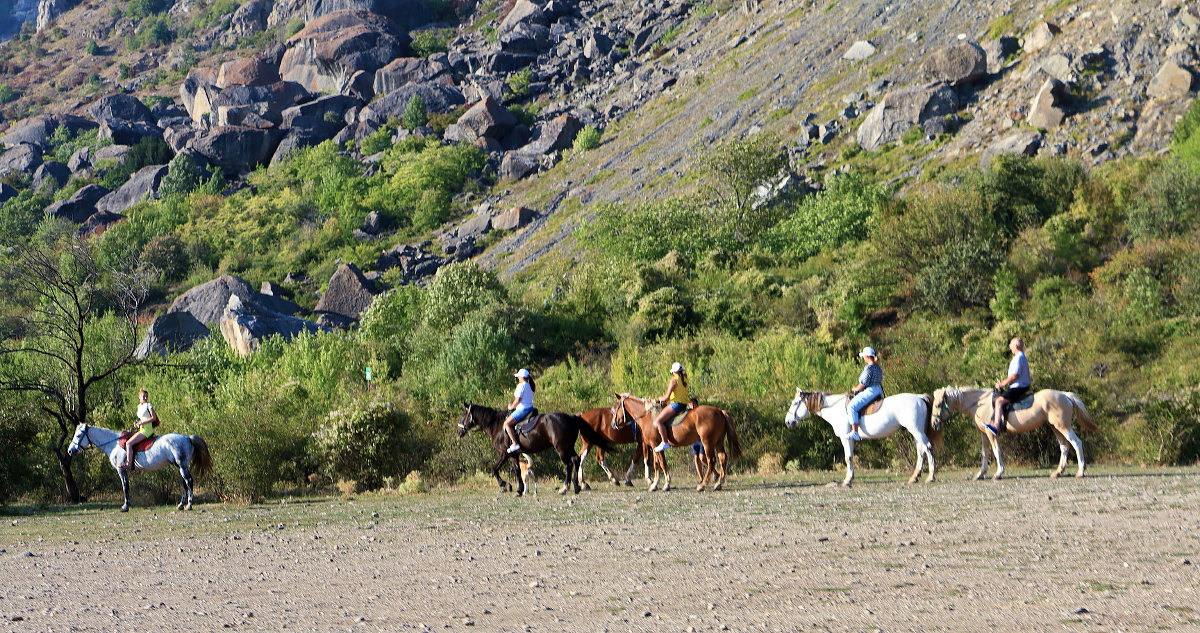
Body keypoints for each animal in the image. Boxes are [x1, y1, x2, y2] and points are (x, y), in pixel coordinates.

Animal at [66, 422, 211, 510]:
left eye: (78, 435)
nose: (70, 451)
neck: (113, 444)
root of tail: (188, 437)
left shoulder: (121, 469)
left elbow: (125, 487)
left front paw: (125, 506)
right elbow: (127, 486)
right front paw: (127, 505)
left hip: (181, 466)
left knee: (189, 481)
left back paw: (189, 505)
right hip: (180, 466)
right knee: (184, 483)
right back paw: (181, 505)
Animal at [453, 405, 614, 493]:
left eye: (463, 415)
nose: (459, 432)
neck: (497, 426)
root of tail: (571, 417)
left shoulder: (504, 453)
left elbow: (495, 469)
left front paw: (505, 485)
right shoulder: (513, 455)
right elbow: (517, 470)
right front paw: (518, 489)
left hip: (561, 448)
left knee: (569, 464)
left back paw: (566, 487)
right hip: (568, 447)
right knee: (576, 460)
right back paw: (576, 486)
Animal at [782, 388, 940, 486]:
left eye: (795, 403)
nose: (788, 422)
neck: (835, 409)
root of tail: (919, 397)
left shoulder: (845, 439)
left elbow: (848, 458)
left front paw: (847, 481)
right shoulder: (850, 440)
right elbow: (850, 457)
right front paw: (851, 478)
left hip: (916, 431)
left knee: (927, 447)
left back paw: (930, 477)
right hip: (916, 432)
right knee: (920, 451)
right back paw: (914, 477)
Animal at [931, 386, 1099, 479]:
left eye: (939, 404)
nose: (933, 424)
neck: (980, 404)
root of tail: (1065, 395)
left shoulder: (991, 433)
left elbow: (996, 451)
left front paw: (998, 473)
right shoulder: (984, 434)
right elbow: (985, 453)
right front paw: (980, 474)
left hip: (1063, 426)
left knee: (1076, 443)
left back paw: (1080, 471)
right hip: (1055, 427)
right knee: (1064, 447)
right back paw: (1058, 472)